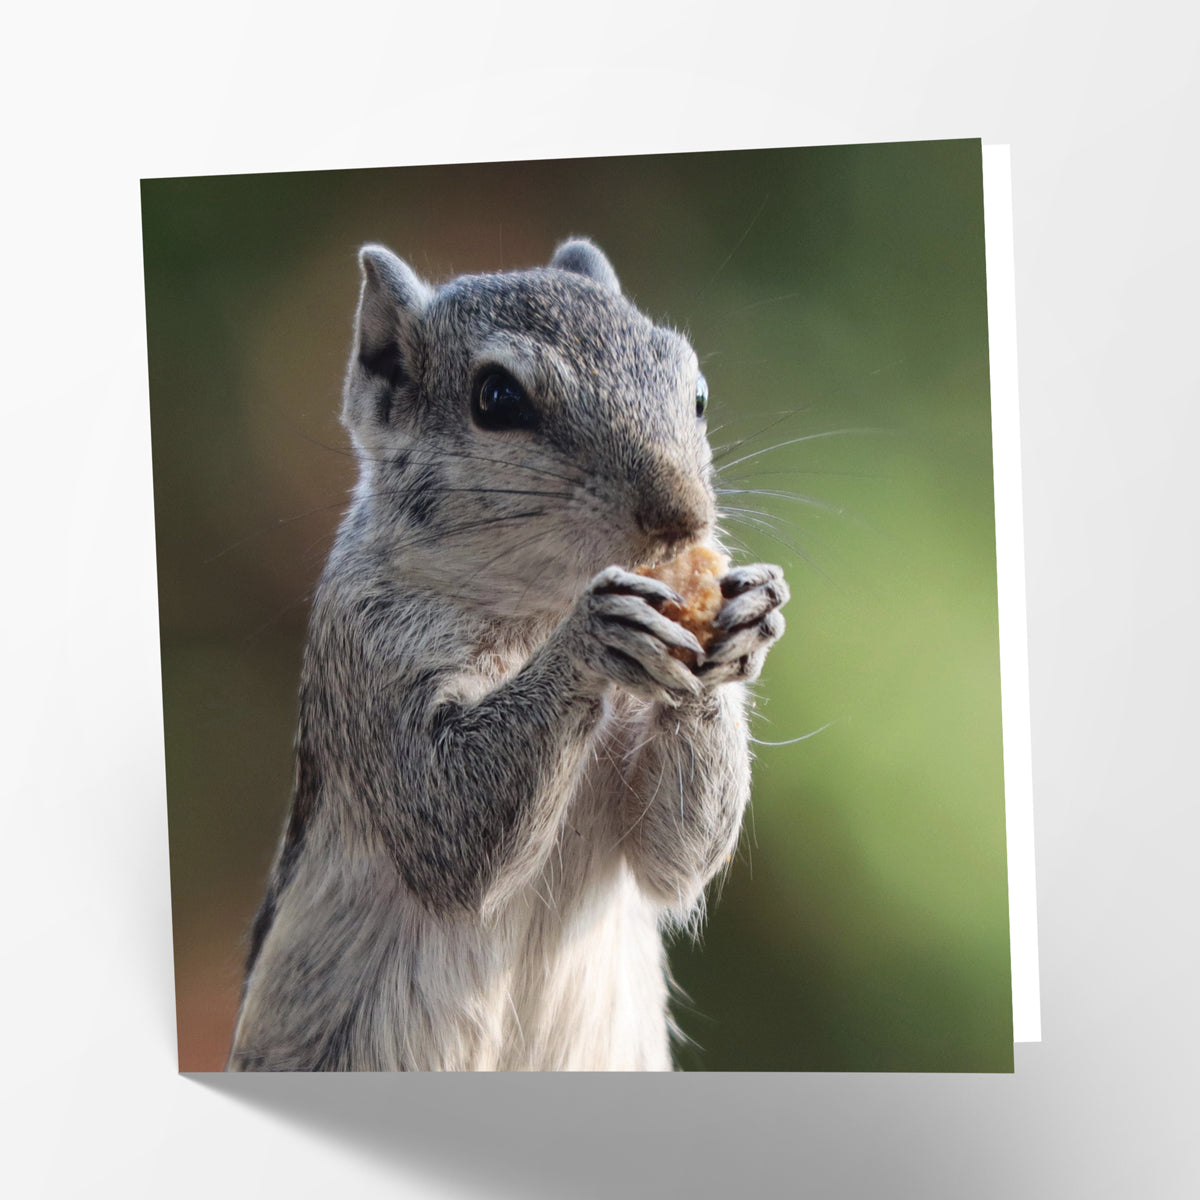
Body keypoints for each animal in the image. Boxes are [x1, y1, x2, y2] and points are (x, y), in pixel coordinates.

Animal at [226, 238, 789, 1071]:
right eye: (496, 399)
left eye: (698, 395)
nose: (683, 516)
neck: (533, 610)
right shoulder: (364, 657)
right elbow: (447, 820)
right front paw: (595, 634)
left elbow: (675, 853)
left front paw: (748, 613)